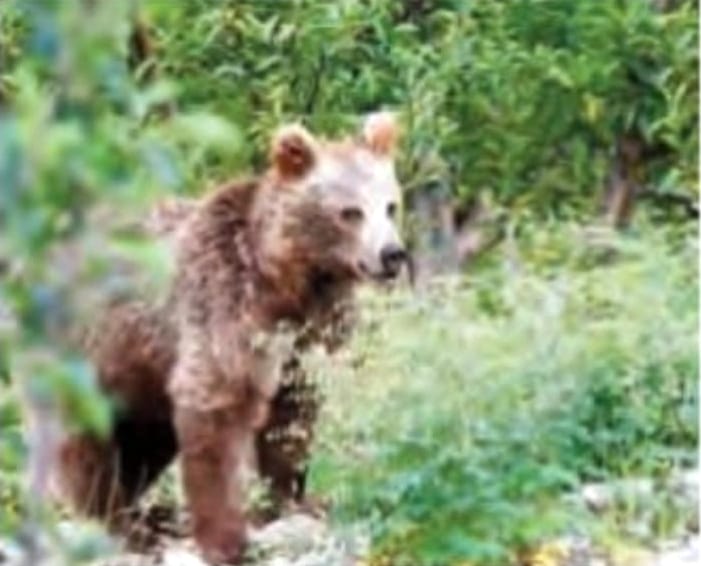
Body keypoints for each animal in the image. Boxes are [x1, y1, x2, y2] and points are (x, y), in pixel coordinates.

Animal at [52, 111, 406, 564]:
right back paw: (119, 521)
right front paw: (226, 535)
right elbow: (218, 405)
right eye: (350, 212)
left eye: (390, 205)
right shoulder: (225, 303)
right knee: (86, 436)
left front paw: (293, 500)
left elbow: (292, 417)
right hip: (93, 345)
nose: (392, 255)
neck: (289, 281)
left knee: (144, 439)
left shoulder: (310, 333)